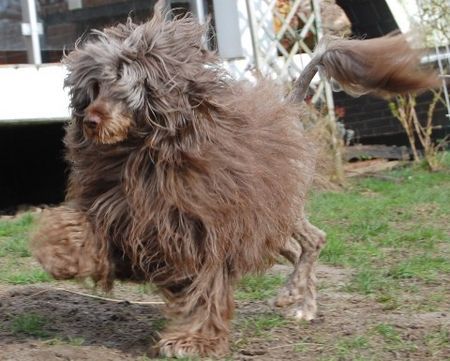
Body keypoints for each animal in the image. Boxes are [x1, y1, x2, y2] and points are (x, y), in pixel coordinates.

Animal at [30, 5, 436, 358]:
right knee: (294, 249)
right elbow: (82, 231)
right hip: (268, 226)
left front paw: (191, 341)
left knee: (313, 241)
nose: (90, 121)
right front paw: (61, 255)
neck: (142, 153)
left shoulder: (203, 230)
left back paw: (298, 299)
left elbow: (206, 289)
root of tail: (289, 107)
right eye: (96, 86)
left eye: (126, 87)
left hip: (280, 210)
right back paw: (299, 298)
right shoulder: (121, 211)